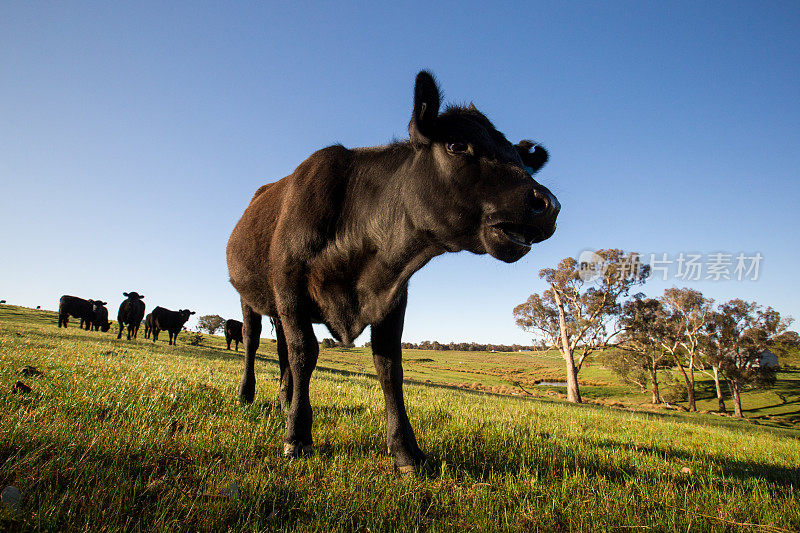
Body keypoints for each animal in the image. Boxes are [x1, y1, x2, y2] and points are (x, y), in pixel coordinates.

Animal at [228, 70, 560, 470]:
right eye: (457, 145)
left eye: (522, 163)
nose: (548, 204)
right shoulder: (290, 289)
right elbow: (305, 354)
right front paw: (297, 437)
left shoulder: (391, 297)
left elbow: (390, 368)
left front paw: (406, 452)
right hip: (250, 296)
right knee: (252, 340)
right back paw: (248, 396)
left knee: (280, 351)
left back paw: (283, 400)